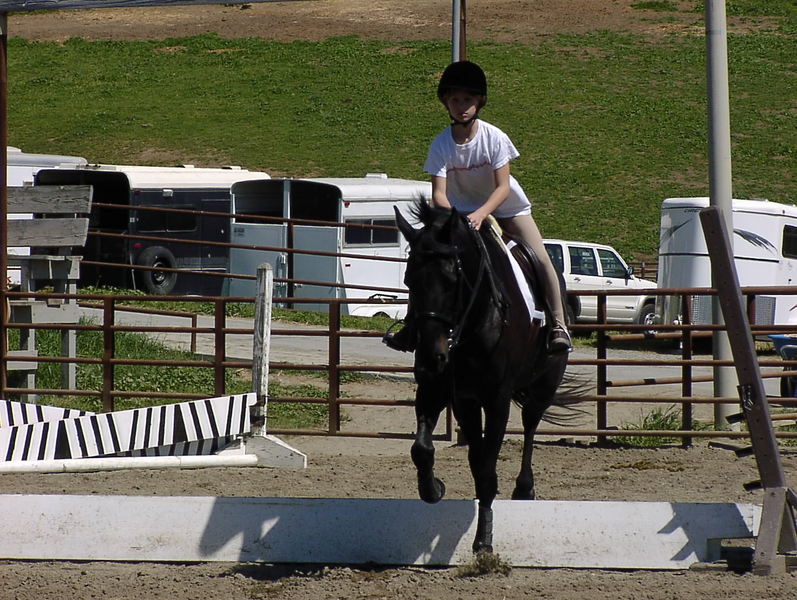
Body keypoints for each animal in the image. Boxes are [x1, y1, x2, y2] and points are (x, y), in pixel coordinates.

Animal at [394, 199, 573, 554]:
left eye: (452, 280)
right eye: (409, 280)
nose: (432, 357)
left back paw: (524, 488)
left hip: (543, 386)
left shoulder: (496, 401)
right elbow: (424, 449)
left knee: (531, 424)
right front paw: (433, 488)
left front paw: (484, 541)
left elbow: (487, 468)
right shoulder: (449, 393)